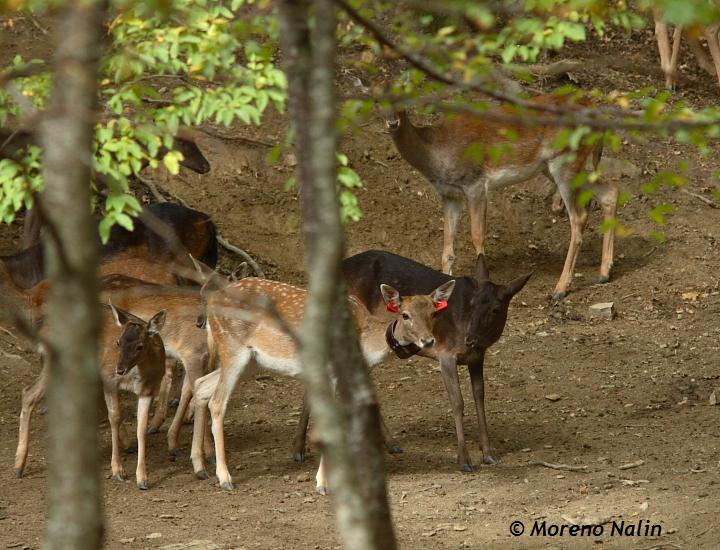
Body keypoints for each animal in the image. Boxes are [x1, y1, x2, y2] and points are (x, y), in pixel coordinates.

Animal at [188, 278, 452, 498]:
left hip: (252, 361)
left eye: (433, 312)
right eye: (405, 315)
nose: (428, 340)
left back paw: (199, 467)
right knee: (217, 401)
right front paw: (323, 484)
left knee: (201, 386)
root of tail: (210, 304)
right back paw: (225, 478)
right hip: (233, 348)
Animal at [292, 252, 528, 472]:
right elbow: (458, 402)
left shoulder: (477, 357)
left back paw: (390, 443)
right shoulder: (446, 353)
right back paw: (299, 450)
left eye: (496, 309)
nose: (469, 340)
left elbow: (480, 398)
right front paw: (464, 461)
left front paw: (488, 453)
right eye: (471, 303)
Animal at [388, 95, 620, 302]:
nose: (392, 122)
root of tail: (594, 109)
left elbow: (477, 236)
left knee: (579, 217)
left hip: (565, 161)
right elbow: (447, 248)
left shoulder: (475, 183)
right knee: (610, 191)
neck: (436, 150)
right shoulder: (449, 194)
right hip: (557, 167)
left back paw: (560, 288)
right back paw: (604, 273)